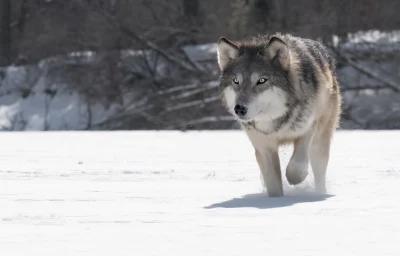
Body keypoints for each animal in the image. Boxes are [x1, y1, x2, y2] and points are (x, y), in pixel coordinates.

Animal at [216, 34, 340, 197]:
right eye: (236, 81)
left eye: (262, 80)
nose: (239, 109)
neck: (276, 123)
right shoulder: (264, 149)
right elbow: (273, 185)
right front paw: (276, 200)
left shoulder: (309, 127)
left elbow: (296, 166)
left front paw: (295, 178)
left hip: (320, 142)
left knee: (319, 171)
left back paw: (319, 193)